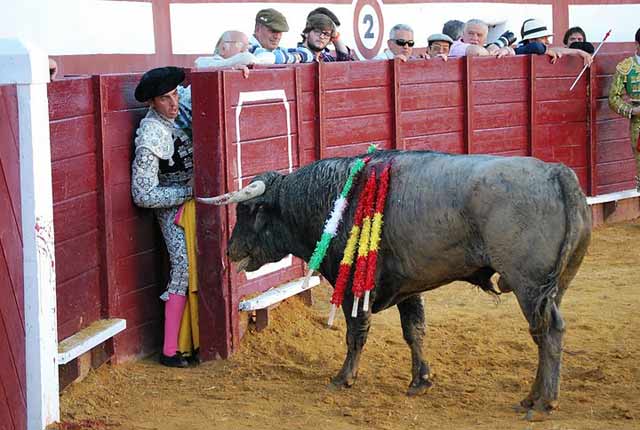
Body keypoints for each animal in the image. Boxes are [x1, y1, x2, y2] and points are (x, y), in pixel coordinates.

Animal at [199, 150, 592, 414]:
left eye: (249, 210)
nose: (230, 250)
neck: (335, 197)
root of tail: (557, 174)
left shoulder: (355, 288)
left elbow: (355, 333)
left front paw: (343, 377)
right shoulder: (410, 286)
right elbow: (414, 331)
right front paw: (420, 380)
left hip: (529, 284)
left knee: (548, 332)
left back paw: (543, 401)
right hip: (552, 287)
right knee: (546, 332)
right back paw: (532, 396)